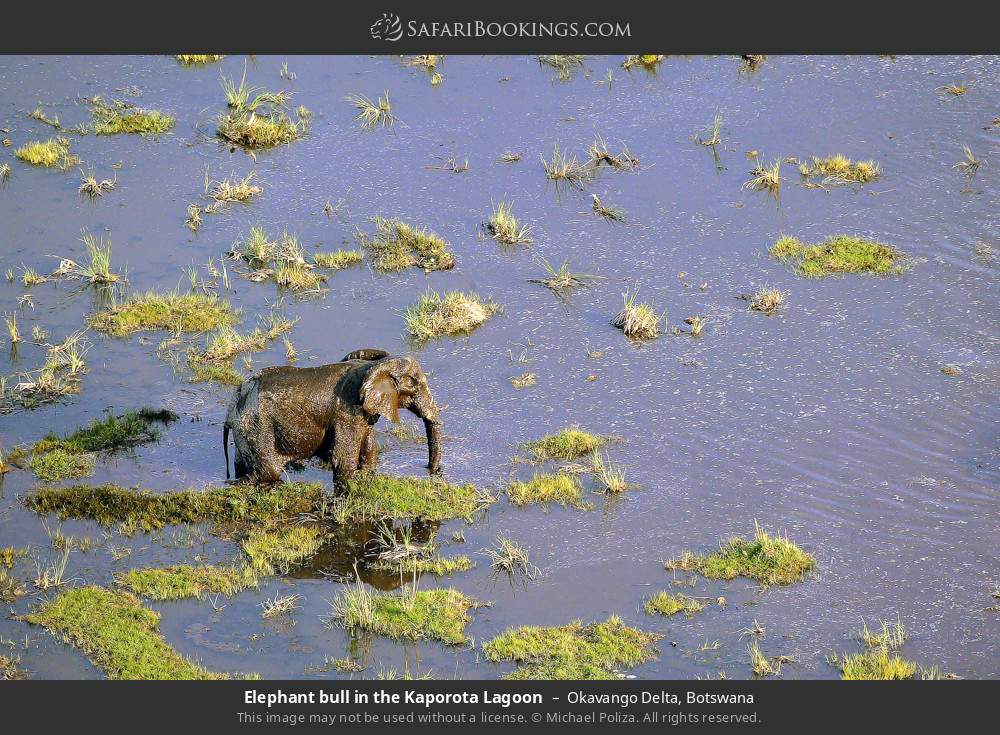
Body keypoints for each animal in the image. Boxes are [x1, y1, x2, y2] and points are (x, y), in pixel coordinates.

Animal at [223, 349, 441, 484]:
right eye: (414, 384)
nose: (431, 471)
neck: (375, 365)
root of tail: (232, 406)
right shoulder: (347, 412)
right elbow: (343, 461)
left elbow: (369, 449)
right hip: (257, 426)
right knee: (269, 472)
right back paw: (235, 483)